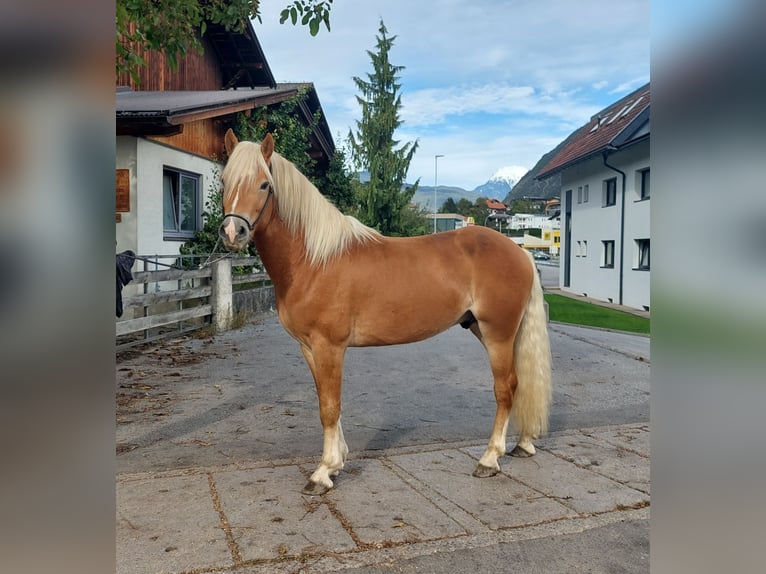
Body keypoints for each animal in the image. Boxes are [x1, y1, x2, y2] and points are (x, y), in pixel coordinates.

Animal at [219, 129, 548, 496]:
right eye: (224, 180)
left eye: (264, 184)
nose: (233, 232)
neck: (314, 259)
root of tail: (521, 253)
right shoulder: (309, 348)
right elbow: (325, 401)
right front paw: (337, 463)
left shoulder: (329, 346)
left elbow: (329, 407)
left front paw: (322, 473)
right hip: (489, 330)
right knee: (520, 384)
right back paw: (524, 444)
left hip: (498, 333)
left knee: (505, 388)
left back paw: (490, 459)